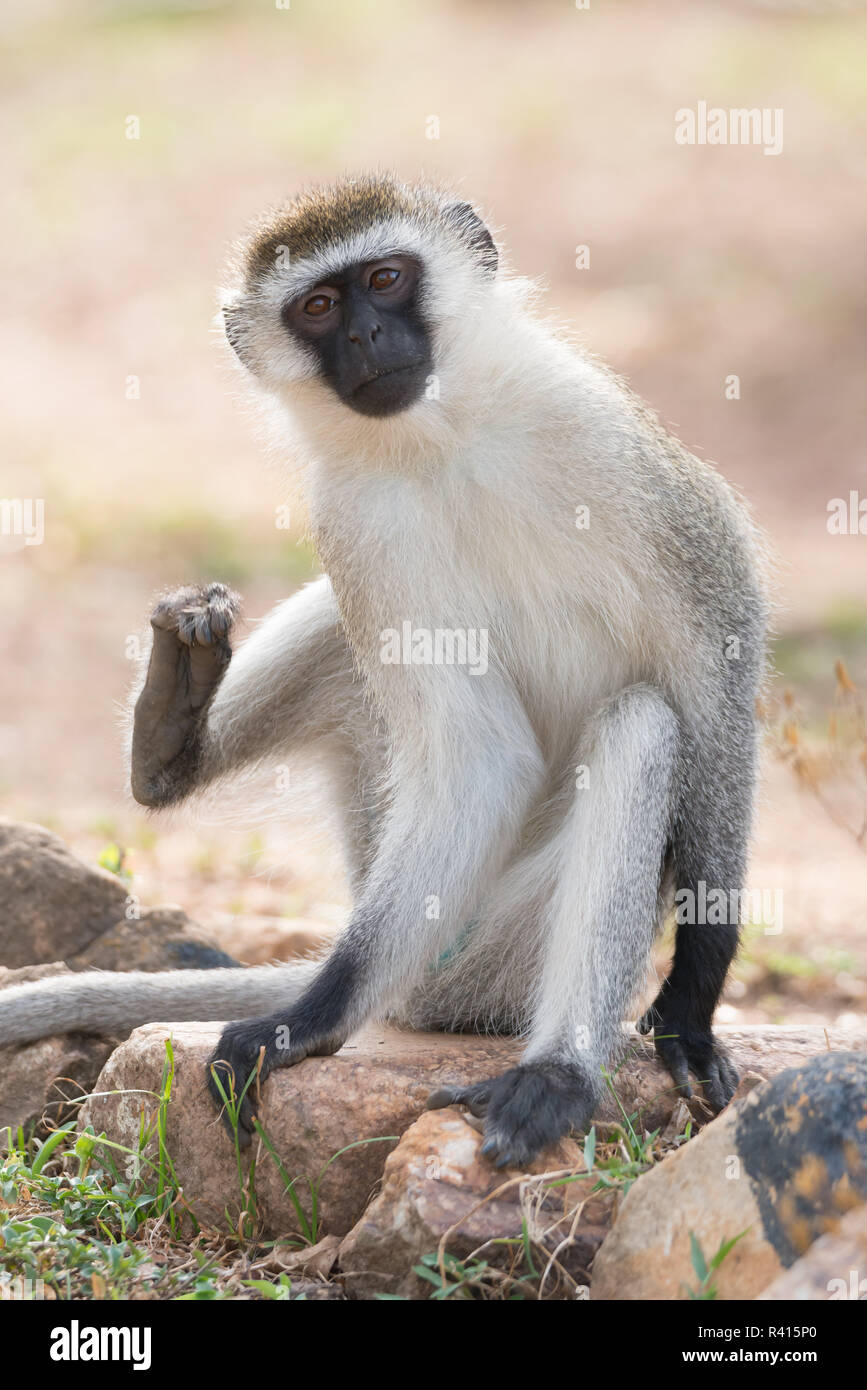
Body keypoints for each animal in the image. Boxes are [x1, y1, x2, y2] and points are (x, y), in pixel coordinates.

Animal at [0, 179, 766, 1167]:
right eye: (319, 308)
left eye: (386, 280)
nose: (366, 337)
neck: (443, 437)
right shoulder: (355, 516)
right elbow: (478, 758)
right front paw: (308, 1020)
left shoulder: (609, 442)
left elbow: (713, 667)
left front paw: (691, 1001)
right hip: (438, 933)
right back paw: (170, 735)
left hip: (491, 957)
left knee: (641, 723)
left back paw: (556, 1074)